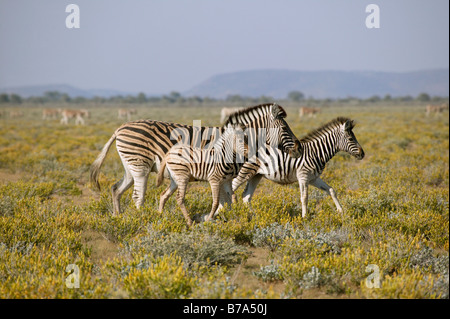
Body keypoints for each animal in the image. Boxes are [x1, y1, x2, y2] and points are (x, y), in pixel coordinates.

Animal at [90, 104, 302, 216]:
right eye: (285, 129)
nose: (299, 149)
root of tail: (120, 128)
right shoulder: (226, 174)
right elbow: (228, 198)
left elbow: (229, 199)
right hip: (140, 166)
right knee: (137, 196)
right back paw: (141, 221)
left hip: (130, 167)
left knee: (116, 189)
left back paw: (119, 218)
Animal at [230, 119, 364, 219]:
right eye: (351, 139)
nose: (362, 154)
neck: (316, 152)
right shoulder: (303, 176)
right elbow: (304, 198)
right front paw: (305, 217)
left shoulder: (313, 178)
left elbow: (331, 190)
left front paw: (341, 211)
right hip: (245, 171)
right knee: (232, 188)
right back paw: (231, 213)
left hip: (256, 175)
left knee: (246, 196)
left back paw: (253, 216)